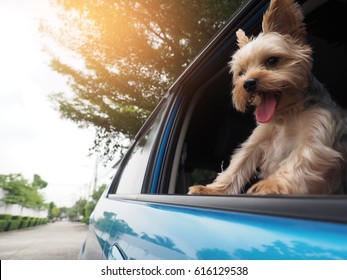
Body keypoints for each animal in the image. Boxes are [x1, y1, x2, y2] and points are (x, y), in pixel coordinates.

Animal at [189, 0, 347, 195]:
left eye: (272, 61)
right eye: (241, 73)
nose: (248, 83)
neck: (287, 113)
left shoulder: (317, 132)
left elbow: (301, 158)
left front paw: (270, 185)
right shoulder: (257, 140)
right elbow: (238, 164)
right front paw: (211, 190)